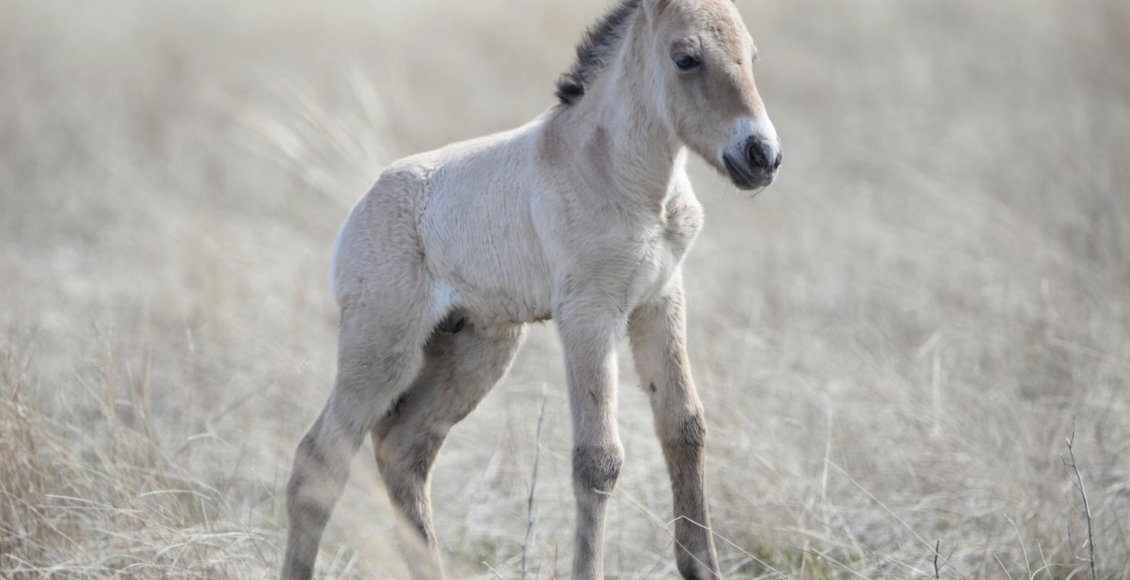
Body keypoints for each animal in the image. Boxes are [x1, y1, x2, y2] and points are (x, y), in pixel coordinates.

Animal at [282, 1, 781, 574]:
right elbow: (598, 460)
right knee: (319, 460)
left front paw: (704, 568)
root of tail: (360, 208)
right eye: (686, 58)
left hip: (475, 351)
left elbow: (685, 429)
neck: (623, 177)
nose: (761, 155)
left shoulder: (660, 301)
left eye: (752, 56)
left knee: (403, 451)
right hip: (382, 348)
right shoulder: (589, 313)